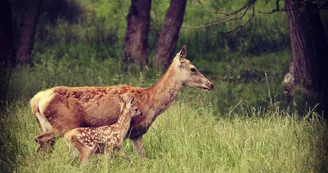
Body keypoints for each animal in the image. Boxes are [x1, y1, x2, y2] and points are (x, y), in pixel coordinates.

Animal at [30, 45, 214, 157]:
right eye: (193, 69)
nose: (210, 84)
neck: (151, 101)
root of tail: (36, 100)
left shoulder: (137, 134)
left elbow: (144, 159)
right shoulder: (131, 130)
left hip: (46, 125)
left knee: (43, 145)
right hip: (64, 124)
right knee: (41, 140)